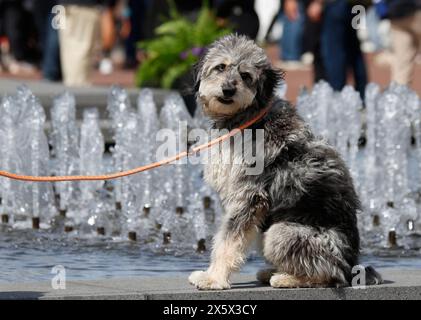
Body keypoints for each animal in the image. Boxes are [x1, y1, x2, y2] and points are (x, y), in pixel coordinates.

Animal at [187, 35, 380, 290]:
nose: (228, 89)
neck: (248, 118)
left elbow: (228, 241)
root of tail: (352, 267)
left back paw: (286, 278)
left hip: (280, 232)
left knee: (330, 275)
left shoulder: (249, 196)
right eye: (221, 67)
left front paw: (214, 278)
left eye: (246, 76)